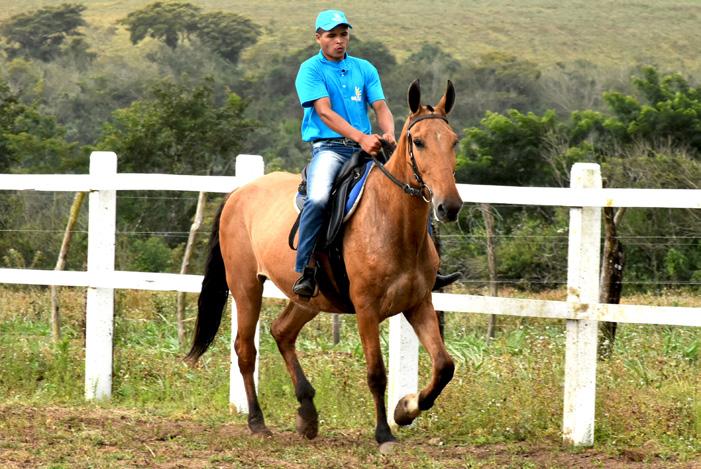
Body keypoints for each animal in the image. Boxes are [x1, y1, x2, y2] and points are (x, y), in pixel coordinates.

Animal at [183, 79, 462, 450]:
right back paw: (257, 422)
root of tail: (239, 192)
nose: (449, 206)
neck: (391, 220)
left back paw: (307, 413)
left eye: (453, 141)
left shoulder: (418, 303)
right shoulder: (367, 308)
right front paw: (384, 433)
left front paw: (405, 409)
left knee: (282, 332)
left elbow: (444, 365)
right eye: (418, 141)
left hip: (311, 297)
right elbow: (377, 373)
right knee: (245, 349)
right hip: (245, 286)